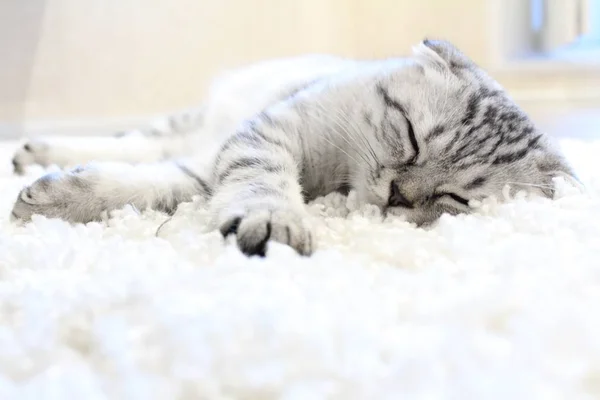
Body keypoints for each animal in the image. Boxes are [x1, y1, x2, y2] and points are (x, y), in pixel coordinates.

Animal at [8, 40, 572, 256]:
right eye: (411, 135)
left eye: (455, 199)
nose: (398, 195)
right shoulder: (270, 132)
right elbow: (262, 179)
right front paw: (274, 218)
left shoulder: (211, 166)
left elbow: (159, 186)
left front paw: (62, 197)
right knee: (139, 141)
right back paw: (32, 149)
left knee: (151, 152)